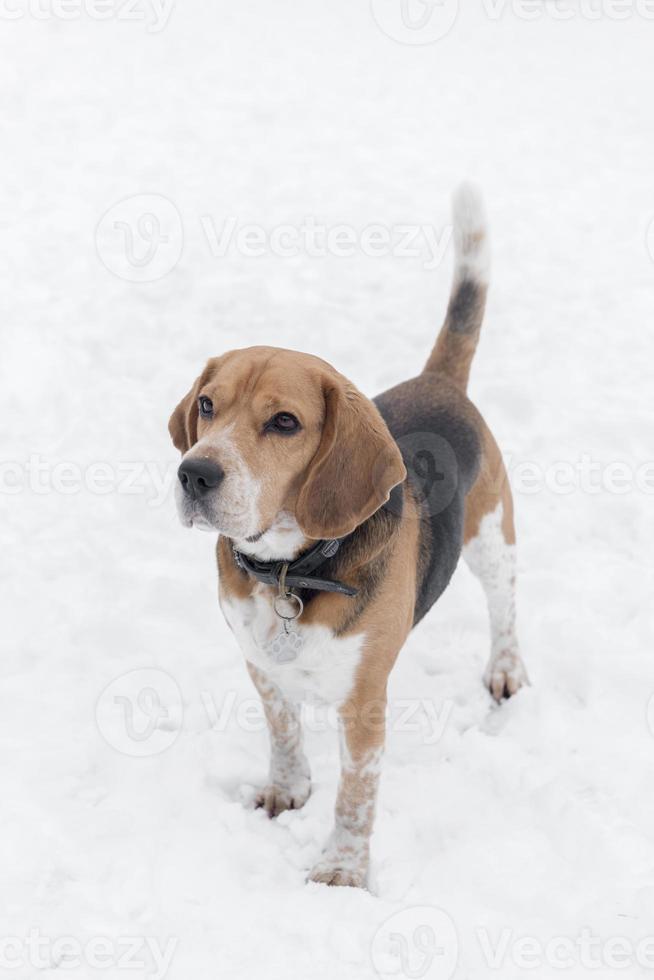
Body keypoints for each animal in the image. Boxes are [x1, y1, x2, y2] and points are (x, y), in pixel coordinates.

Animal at [169, 184, 528, 888]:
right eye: (206, 405)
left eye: (285, 422)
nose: (194, 473)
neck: (291, 569)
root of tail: (439, 381)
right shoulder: (261, 667)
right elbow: (283, 735)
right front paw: (287, 791)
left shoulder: (363, 704)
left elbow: (356, 794)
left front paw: (341, 870)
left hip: (491, 538)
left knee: (504, 606)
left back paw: (505, 668)